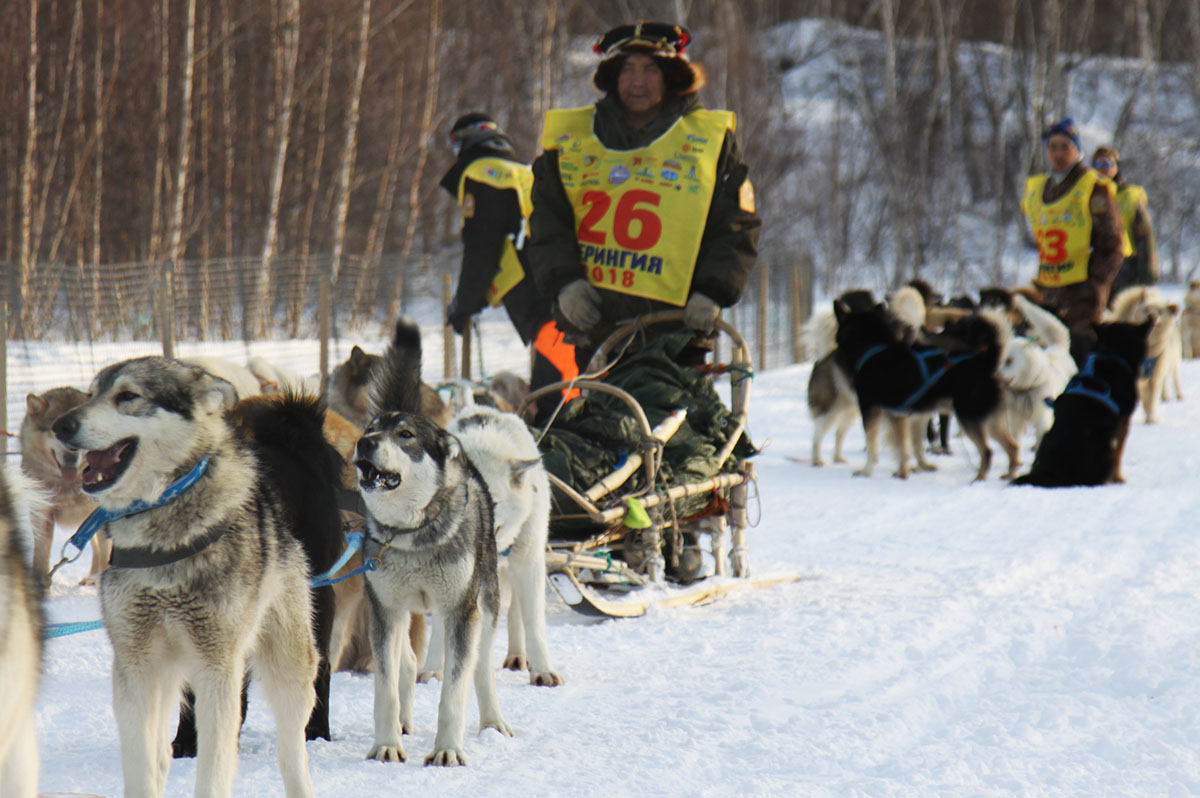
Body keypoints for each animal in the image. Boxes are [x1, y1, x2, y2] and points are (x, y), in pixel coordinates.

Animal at [52, 355, 319, 796]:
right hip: (165, 676)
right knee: (160, 754)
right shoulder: (134, 666)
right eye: (89, 395)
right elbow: (141, 768)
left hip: (289, 668)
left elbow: (213, 770)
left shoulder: (217, 670)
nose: (61, 426)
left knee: (292, 751)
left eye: (128, 396)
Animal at [352, 316, 508, 768]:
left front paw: (447, 749)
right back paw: (403, 722)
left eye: (405, 434)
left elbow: (453, 690)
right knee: (405, 662)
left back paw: (493, 722)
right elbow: (385, 686)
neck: (411, 535)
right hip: (403, 612)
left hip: (485, 605)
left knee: (481, 666)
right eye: (370, 430)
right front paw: (386, 744)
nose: (364, 443)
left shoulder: (460, 612)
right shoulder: (384, 611)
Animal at [420, 405, 564, 686]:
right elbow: (442, 629)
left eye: (489, 499)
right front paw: (434, 669)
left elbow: (534, 623)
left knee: (516, 612)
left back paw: (518, 656)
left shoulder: (529, 564)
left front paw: (543, 670)